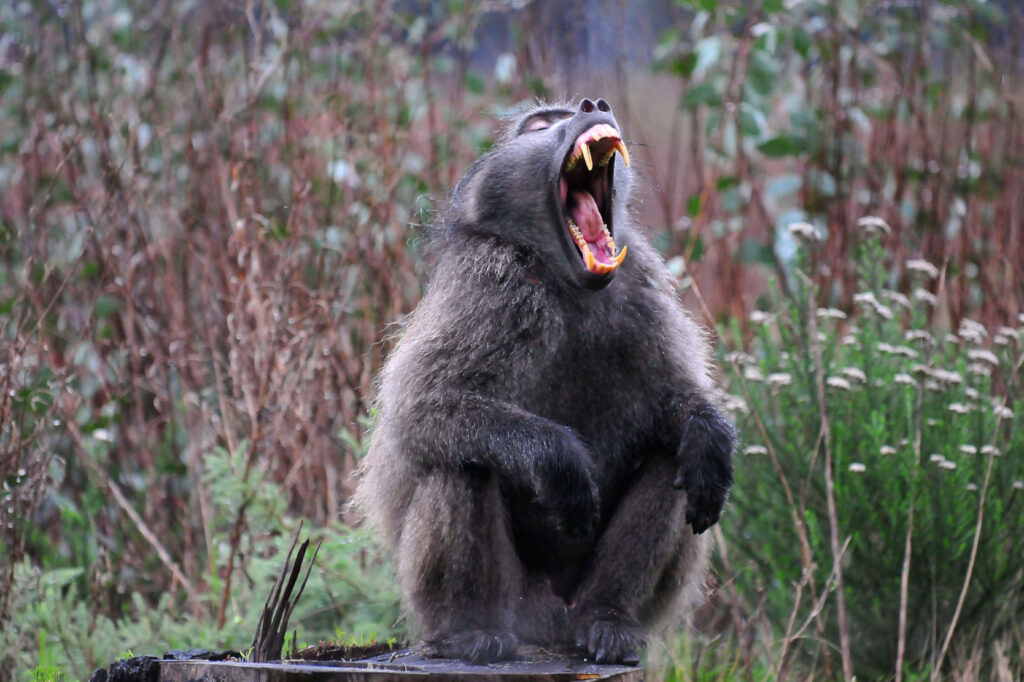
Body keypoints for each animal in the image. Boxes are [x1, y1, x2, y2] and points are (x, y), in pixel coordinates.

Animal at [356, 98, 735, 666]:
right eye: (540, 126)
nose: (594, 104)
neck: (566, 283)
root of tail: (549, 624)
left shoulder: (639, 282)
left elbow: (676, 402)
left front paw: (710, 433)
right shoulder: (488, 284)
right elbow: (417, 411)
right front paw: (560, 461)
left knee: (675, 459)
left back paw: (608, 620)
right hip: (498, 598)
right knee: (462, 461)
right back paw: (470, 631)